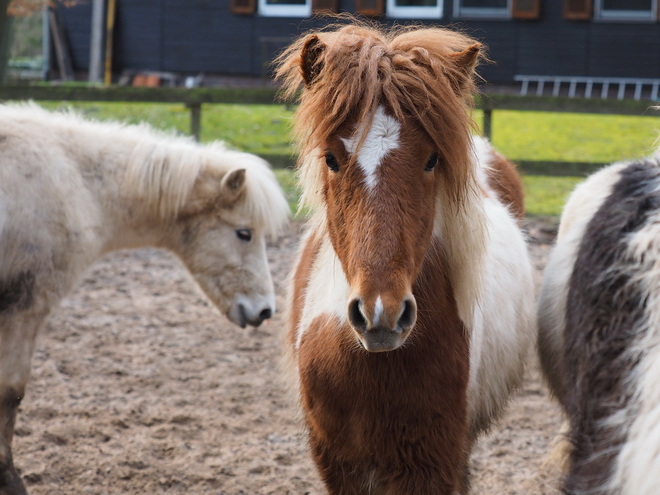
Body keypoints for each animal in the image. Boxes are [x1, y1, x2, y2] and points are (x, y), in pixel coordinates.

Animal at [0, 102, 288, 494]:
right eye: (244, 233)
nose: (264, 310)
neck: (81, 186)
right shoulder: (25, 309)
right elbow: (11, 392)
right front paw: (10, 480)